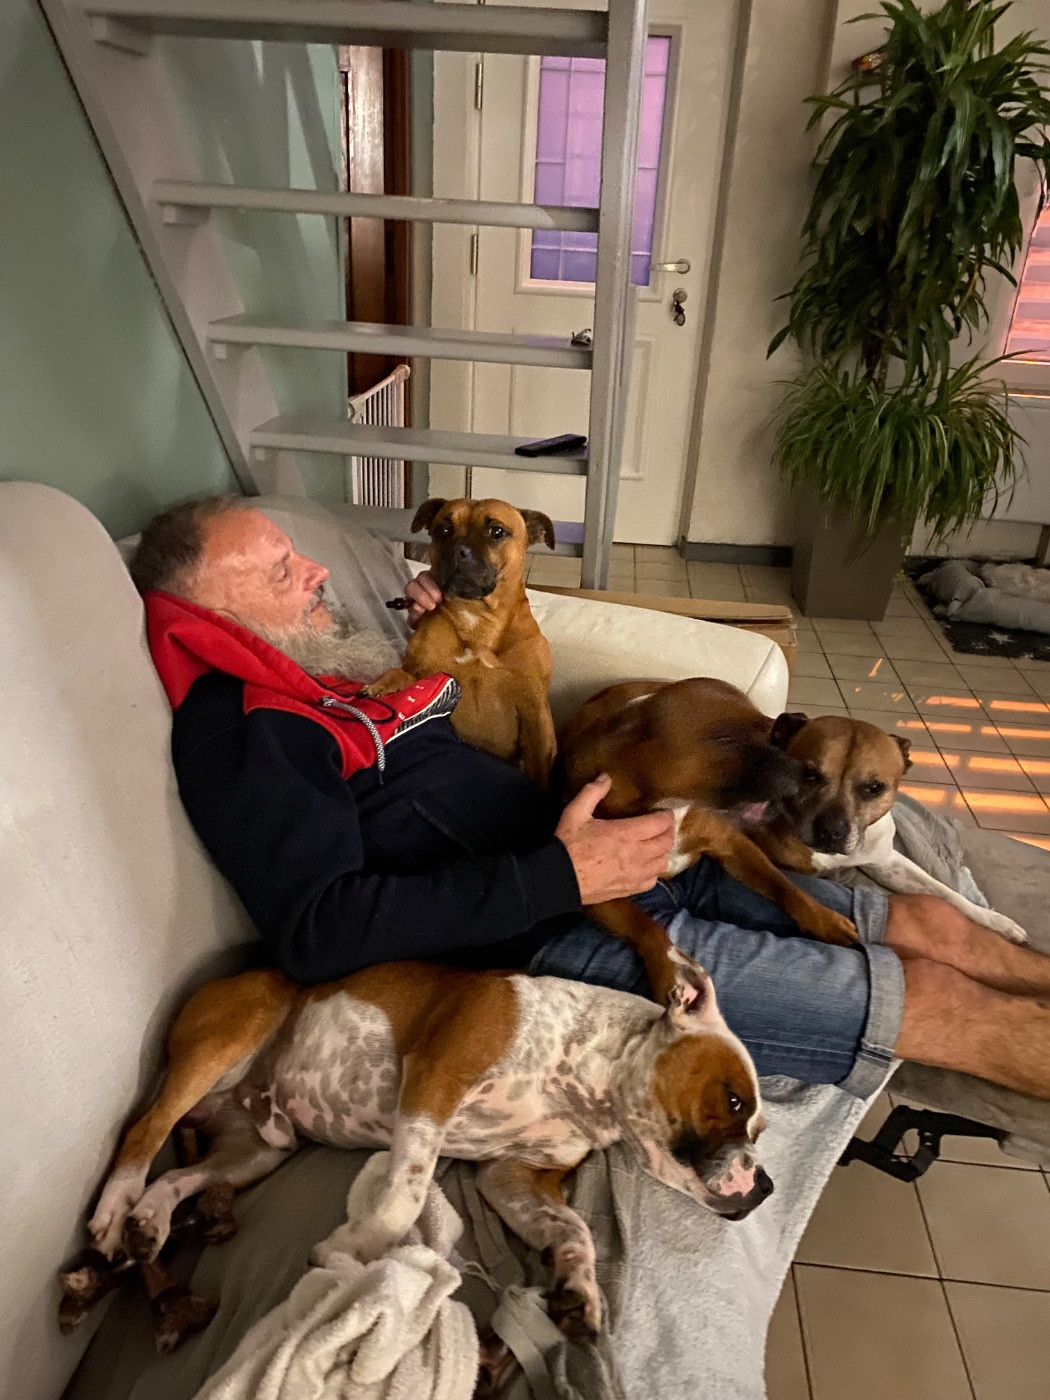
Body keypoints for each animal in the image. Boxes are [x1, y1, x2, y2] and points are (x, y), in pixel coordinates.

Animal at [71, 951, 770, 1342]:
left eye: (760, 1130)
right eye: (736, 1102)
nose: (763, 1187)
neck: (589, 1071)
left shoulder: (512, 1179)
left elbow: (574, 1230)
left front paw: (579, 1290)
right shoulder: (433, 1085)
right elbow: (404, 1196)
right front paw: (352, 1249)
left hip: (256, 1151)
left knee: (175, 1176)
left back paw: (148, 1222)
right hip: (236, 1032)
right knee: (144, 1131)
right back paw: (115, 1209)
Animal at [365, 497, 558, 786]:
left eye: (497, 531)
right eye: (444, 530)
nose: (459, 551)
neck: (477, 618)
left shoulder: (535, 713)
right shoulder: (420, 672)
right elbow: (399, 673)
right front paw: (382, 686)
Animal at [557, 678, 860, 1000]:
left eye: (771, 735)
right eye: (725, 740)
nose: (806, 773)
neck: (671, 805)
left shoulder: (734, 846)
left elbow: (784, 885)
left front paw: (825, 919)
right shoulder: (599, 892)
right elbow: (647, 927)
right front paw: (670, 967)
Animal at [753, 712, 1028, 944]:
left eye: (875, 788)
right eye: (808, 774)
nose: (831, 831)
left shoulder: (888, 864)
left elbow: (945, 891)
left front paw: (995, 921)